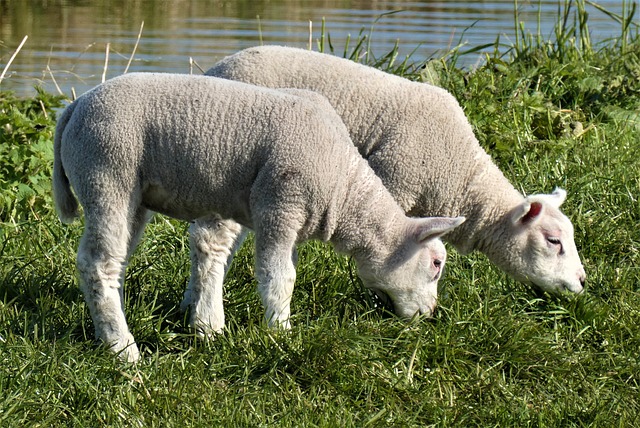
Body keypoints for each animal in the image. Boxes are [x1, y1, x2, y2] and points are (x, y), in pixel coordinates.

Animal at [53, 72, 464, 362]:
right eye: (436, 263)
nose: (430, 315)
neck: (342, 186)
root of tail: (74, 107)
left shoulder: (292, 220)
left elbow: (282, 271)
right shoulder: (280, 206)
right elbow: (278, 278)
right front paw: (281, 334)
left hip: (132, 195)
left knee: (115, 261)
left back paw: (109, 330)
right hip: (107, 174)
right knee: (97, 263)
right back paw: (123, 350)